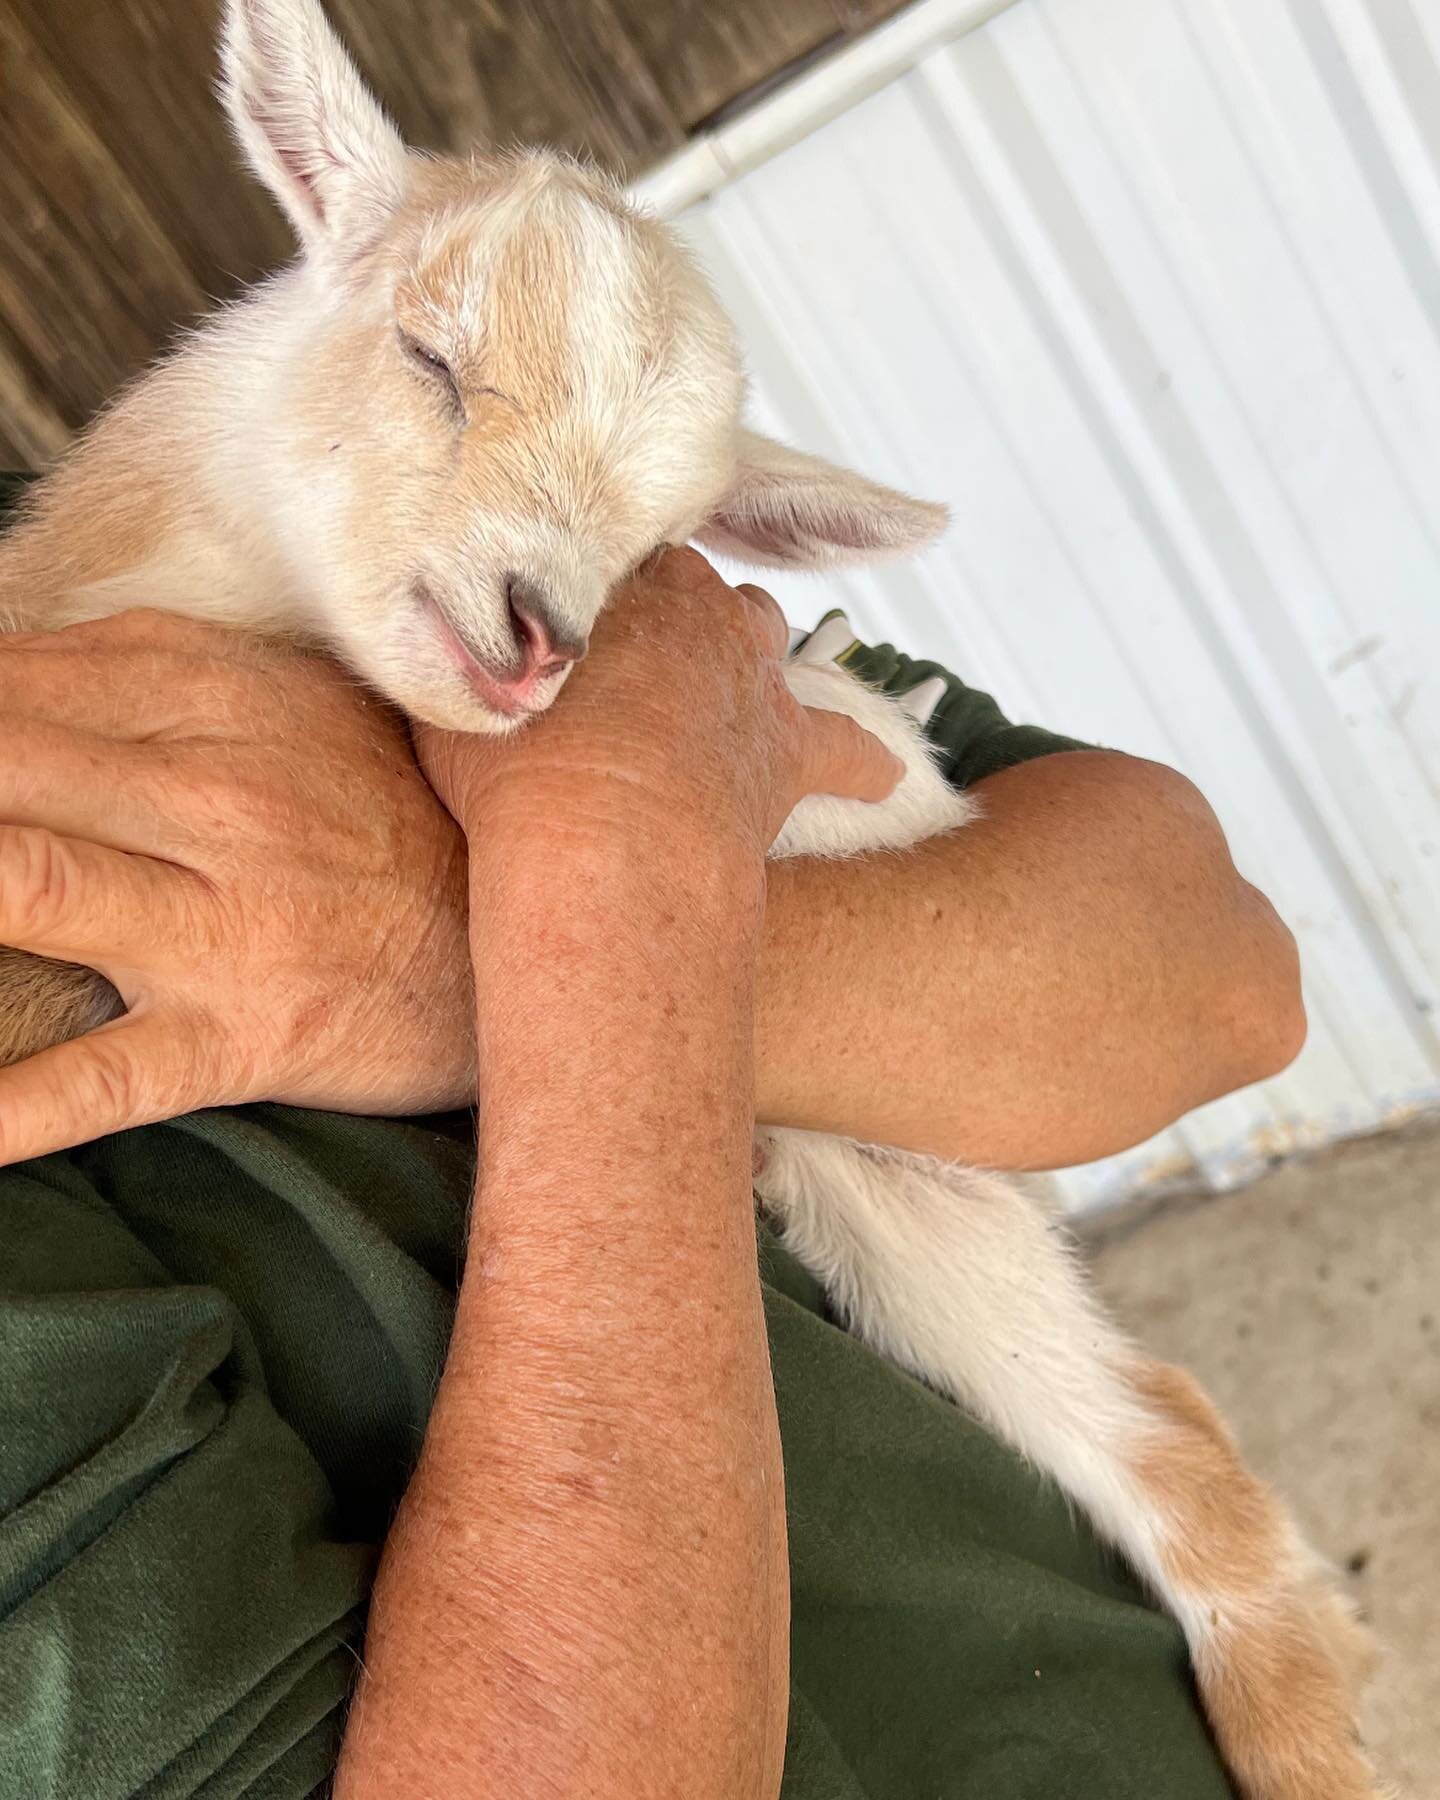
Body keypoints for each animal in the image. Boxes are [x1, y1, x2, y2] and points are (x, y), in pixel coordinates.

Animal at [0, 7, 1396, 1792]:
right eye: (429, 356)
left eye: (669, 539)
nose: (537, 633)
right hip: (895, 1202)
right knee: (1149, 1418)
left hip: (906, 1183)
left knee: (1167, 1440)